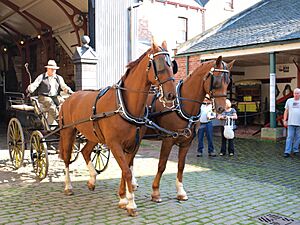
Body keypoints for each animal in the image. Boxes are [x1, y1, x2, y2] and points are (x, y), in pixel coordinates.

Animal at [58, 40, 176, 216]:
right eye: (160, 64)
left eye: (172, 65)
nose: (171, 95)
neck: (124, 105)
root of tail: (69, 98)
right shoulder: (114, 144)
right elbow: (126, 171)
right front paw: (131, 204)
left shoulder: (133, 145)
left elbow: (125, 170)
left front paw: (122, 199)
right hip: (68, 132)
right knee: (66, 158)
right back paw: (68, 186)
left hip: (93, 135)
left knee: (85, 151)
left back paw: (92, 179)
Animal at [133, 55, 234, 202]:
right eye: (216, 80)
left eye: (228, 82)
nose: (221, 108)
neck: (181, 105)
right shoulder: (168, 140)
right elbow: (162, 165)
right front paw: (156, 192)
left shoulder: (186, 143)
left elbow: (181, 166)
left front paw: (181, 192)